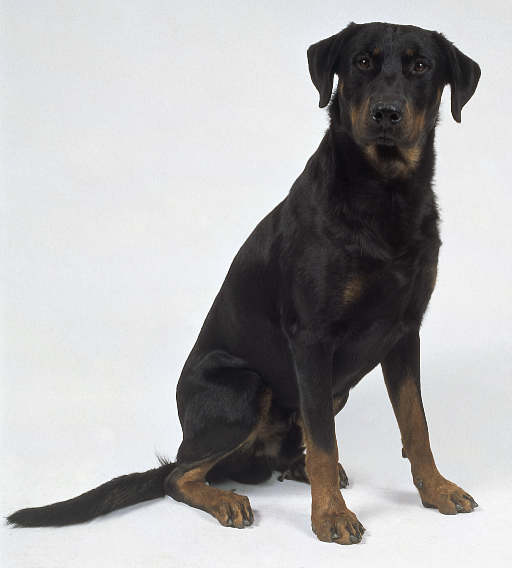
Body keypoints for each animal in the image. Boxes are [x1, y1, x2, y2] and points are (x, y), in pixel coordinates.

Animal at [8, 22, 481, 545]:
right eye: (362, 62)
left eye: (421, 66)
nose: (386, 113)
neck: (385, 193)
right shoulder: (312, 338)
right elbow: (325, 441)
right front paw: (330, 517)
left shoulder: (403, 330)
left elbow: (416, 424)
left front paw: (437, 490)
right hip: (245, 386)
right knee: (180, 475)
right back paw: (228, 499)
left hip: (331, 388)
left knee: (282, 451)